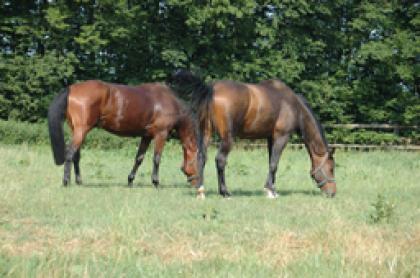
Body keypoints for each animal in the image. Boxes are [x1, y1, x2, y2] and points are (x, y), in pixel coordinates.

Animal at [48, 80, 199, 189]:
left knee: (76, 155)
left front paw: (130, 181)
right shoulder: (160, 134)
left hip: (77, 130)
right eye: (197, 162)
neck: (169, 102)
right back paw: (66, 181)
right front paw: (156, 182)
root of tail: (71, 88)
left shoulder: (146, 136)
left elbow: (139, 158)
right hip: (81, 130)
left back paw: (79, 181)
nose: (196, 184)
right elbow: (156, 159)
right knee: (70, 152)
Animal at [169, 70, 336, 199]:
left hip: (205, 133)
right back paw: (225, 192)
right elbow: (274, 164)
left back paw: (200, 191)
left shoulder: (270, 138)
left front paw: (271, 189)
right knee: (220, 160)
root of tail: (211, 89)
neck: (293, 105)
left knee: (201, 158)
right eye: (331, 168)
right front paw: (270, 191)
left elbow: (271, 162)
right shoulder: (282, 137)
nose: (332, 193)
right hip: (227, 138)